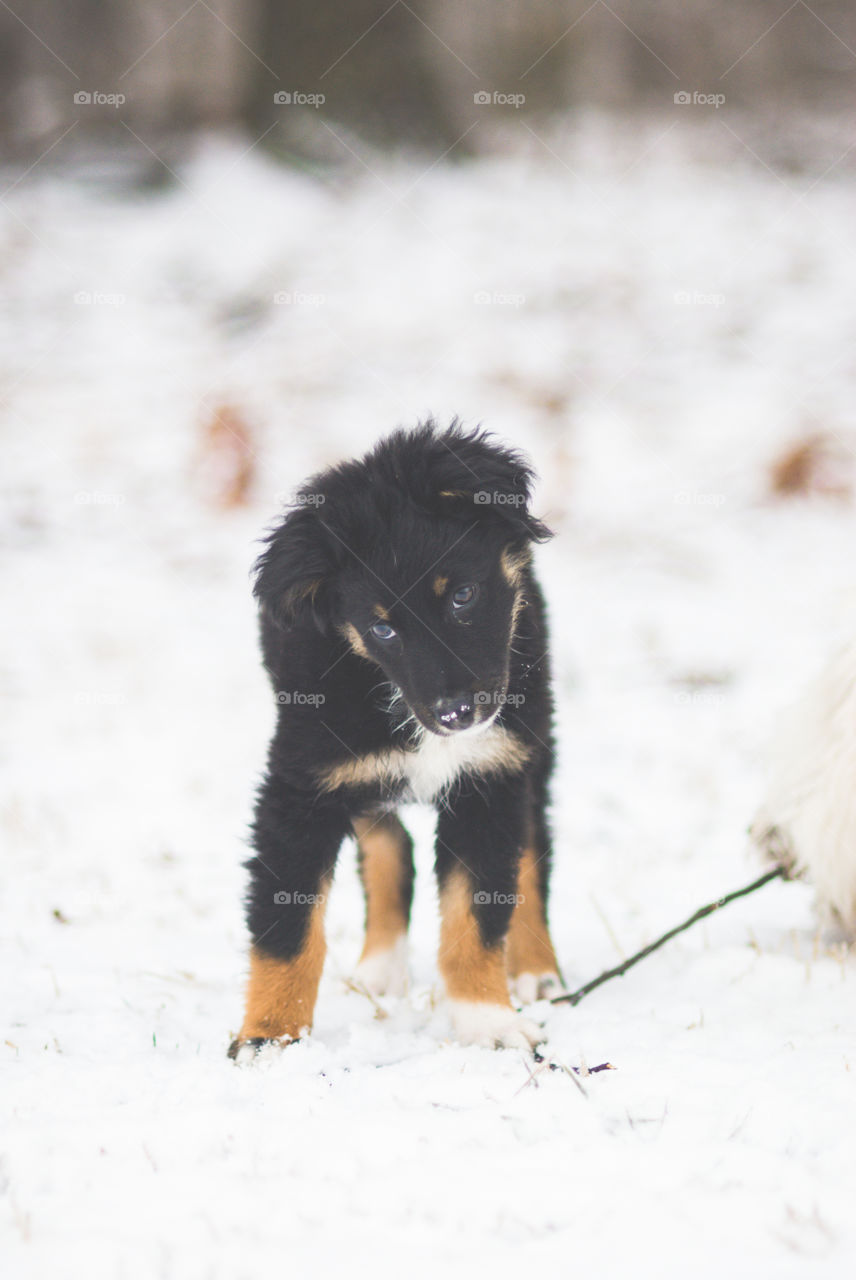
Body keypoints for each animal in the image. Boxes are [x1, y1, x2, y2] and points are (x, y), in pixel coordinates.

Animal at [226, 419, 560, 1059]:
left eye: (462, 595)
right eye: (382, 628)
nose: (456, 714)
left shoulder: (491, 775)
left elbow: (476, 915)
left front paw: (488, 1024)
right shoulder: (301, 785)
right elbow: (287, 930)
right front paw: (269, 1037)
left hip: (533, 736)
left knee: (532, 851)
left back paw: (535, 967)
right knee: (388, 840)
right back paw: (380, 968)